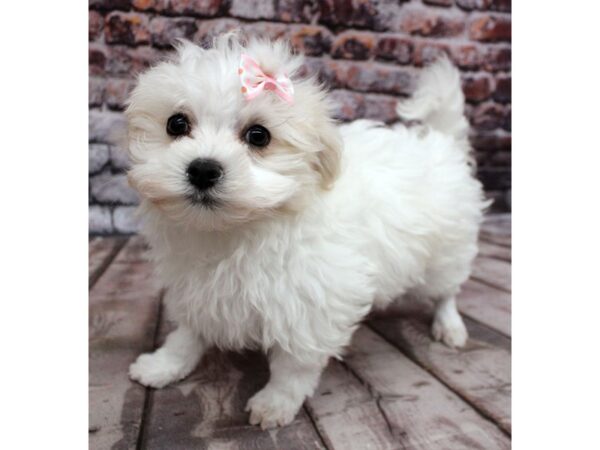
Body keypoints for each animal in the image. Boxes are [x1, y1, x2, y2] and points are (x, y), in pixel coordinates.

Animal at [126, 32, 488, 428]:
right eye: (176, 124)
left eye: (258, 136)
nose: (203, 169)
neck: (235, 230)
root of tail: (441, 142)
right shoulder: (195, 286)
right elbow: (188, 333)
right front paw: (164, 364)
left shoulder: (312, 303)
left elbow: (294, 364)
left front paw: (275, 402)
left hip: (447, 252)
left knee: (446, 292)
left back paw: (449, 326)